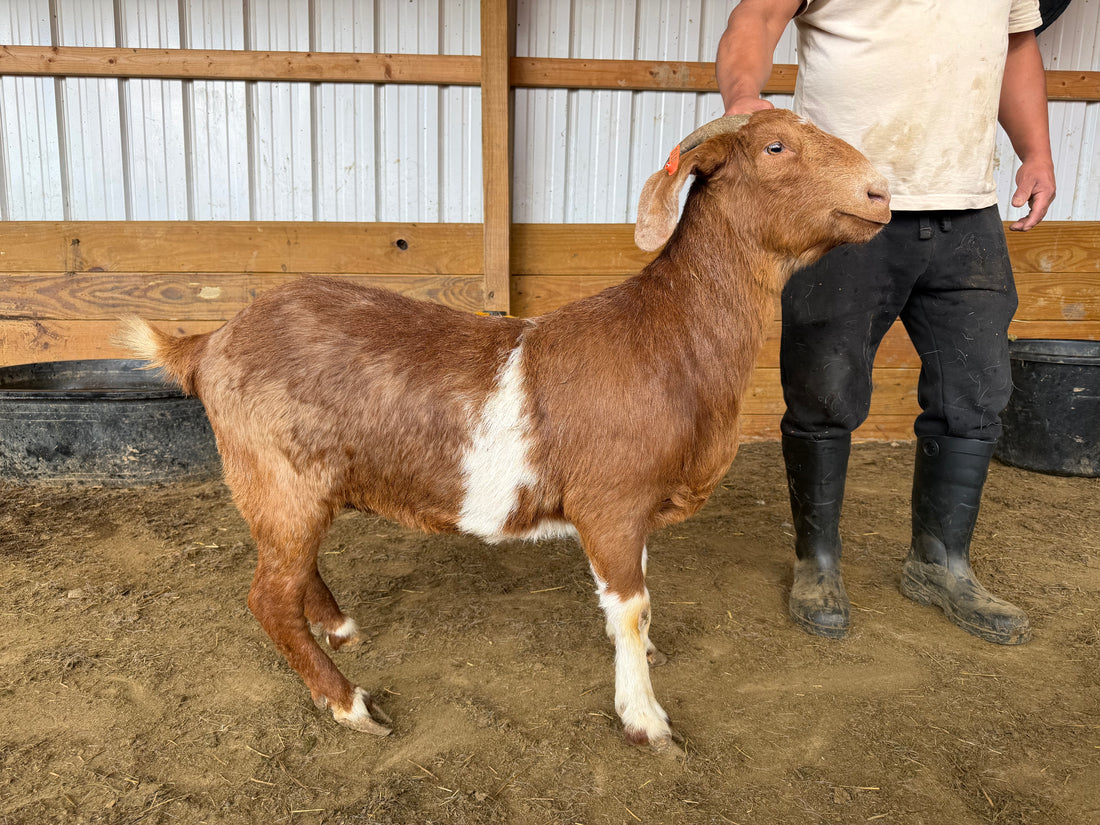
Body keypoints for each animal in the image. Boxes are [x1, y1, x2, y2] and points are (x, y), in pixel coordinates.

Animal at [118, 109, 890, 755]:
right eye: (775, 147)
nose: (882, 191)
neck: (667, 335)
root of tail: (207, 343)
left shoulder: (633, 510)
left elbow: (637, 600)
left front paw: (645, 663)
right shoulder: (610, 501)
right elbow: (630, 606)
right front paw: (645, 717)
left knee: (291, 571)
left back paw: (340, 628)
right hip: (278, 475)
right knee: (267, 598)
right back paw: (350, 703)